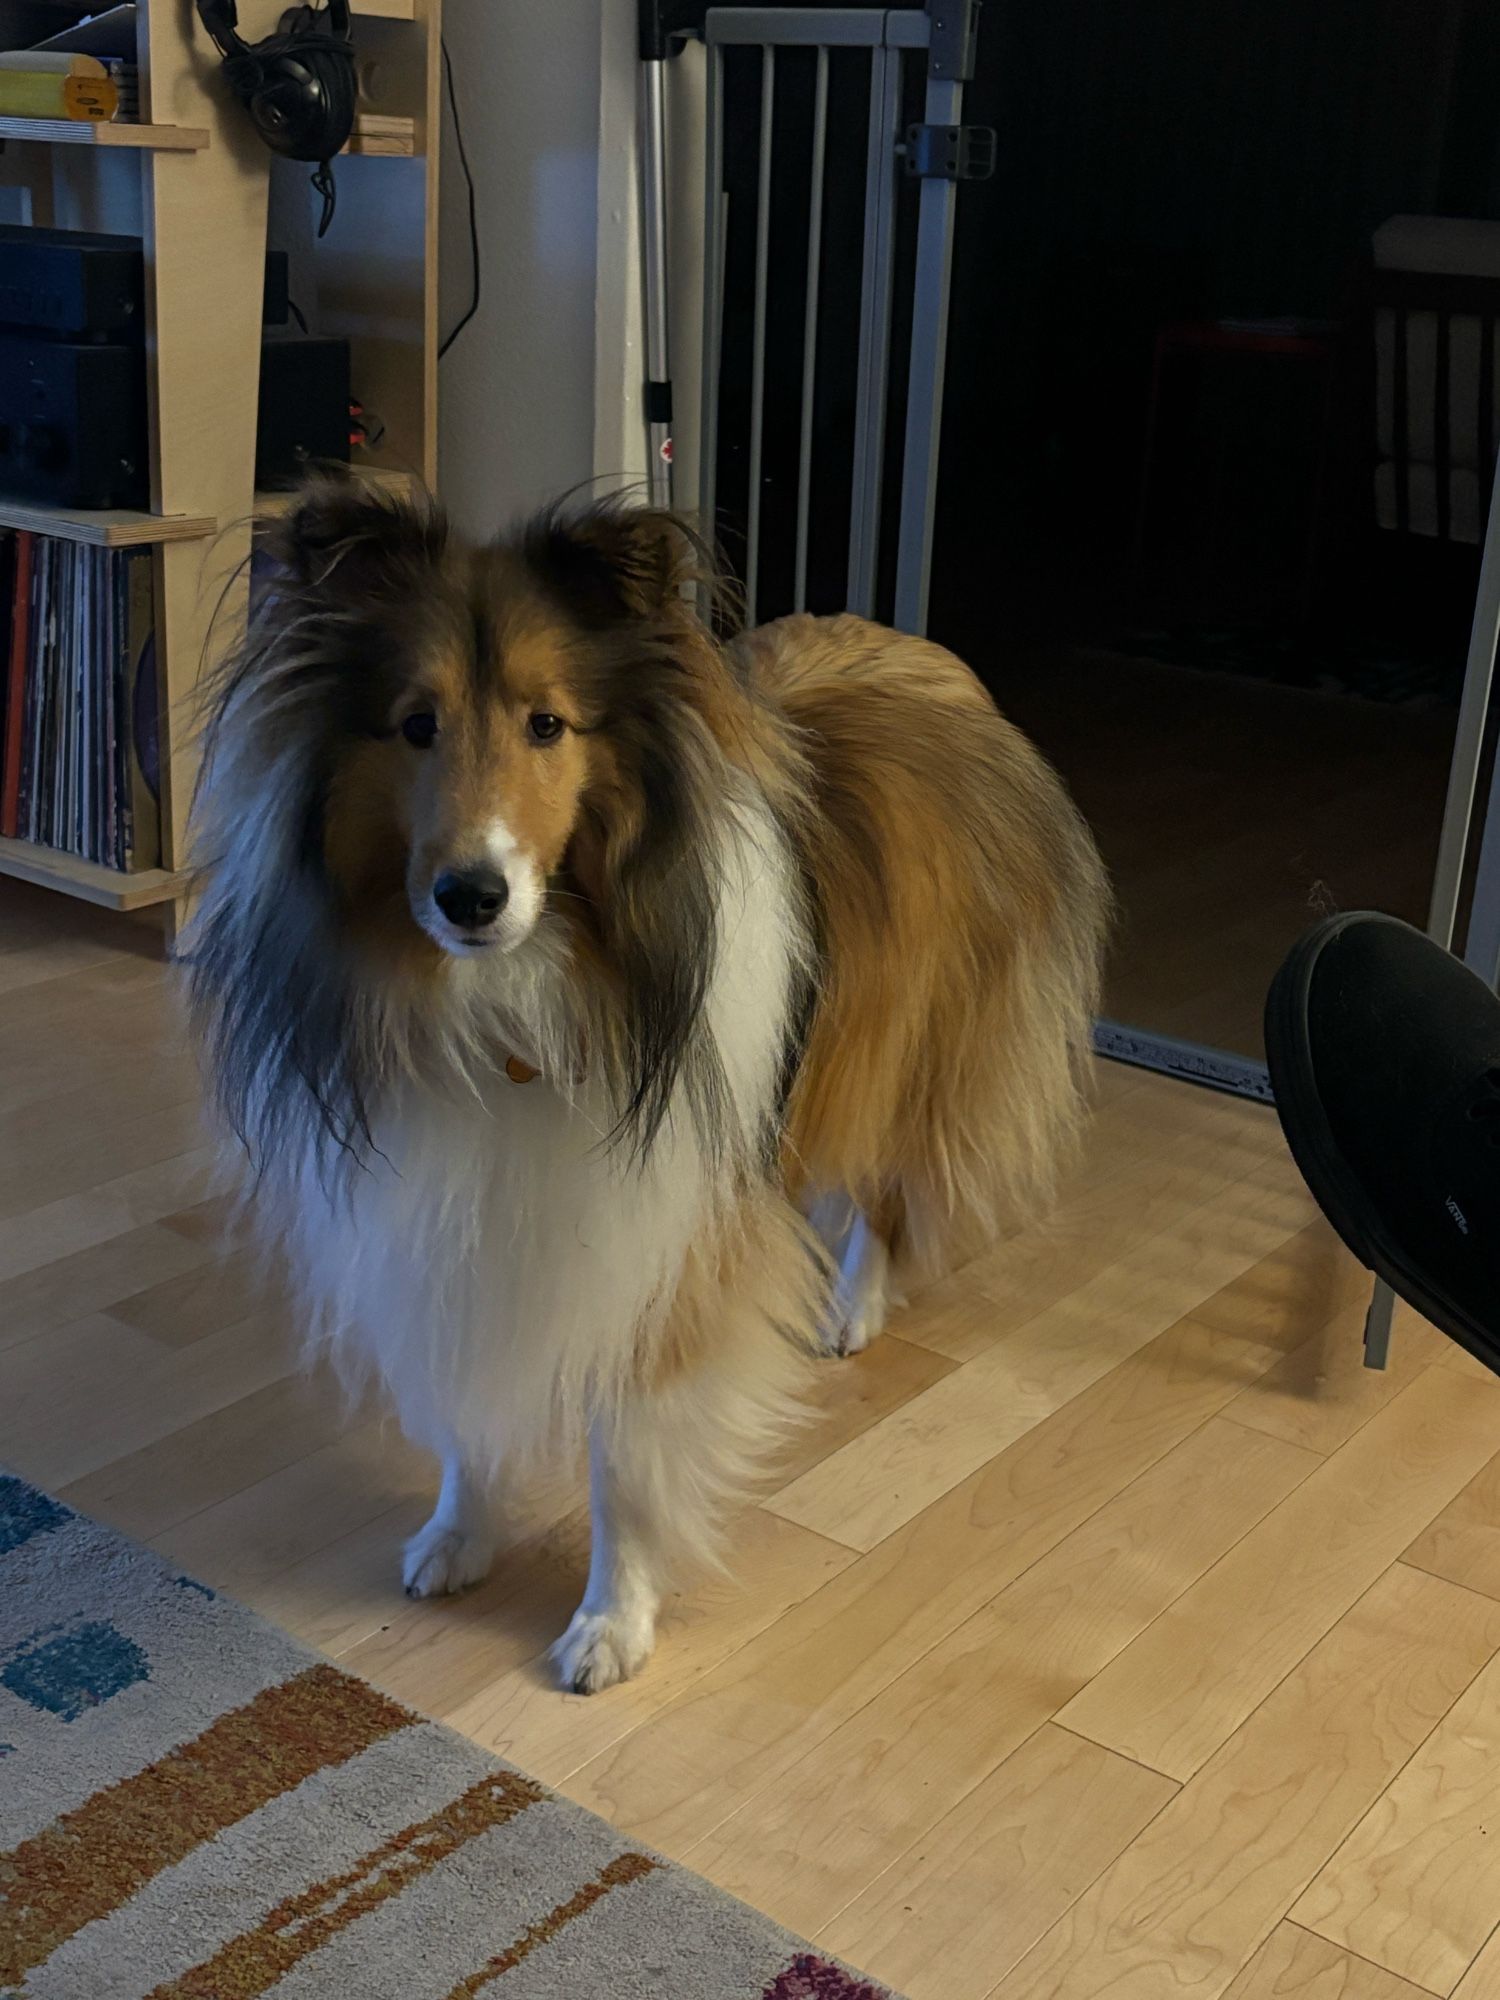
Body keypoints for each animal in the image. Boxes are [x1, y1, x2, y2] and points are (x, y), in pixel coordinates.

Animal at [182, 480, 1112, 1688]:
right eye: (416, 723)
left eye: (547, 723)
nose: (470, 897)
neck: (531, 992)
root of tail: (924, 652)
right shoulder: (454, 1222)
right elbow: (468, 1404)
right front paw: (460, 1534)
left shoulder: (664, 1236)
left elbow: (625, 1461)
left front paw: (608, 1625)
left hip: (910, 1046)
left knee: (886, 1190)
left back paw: (852, 1307)